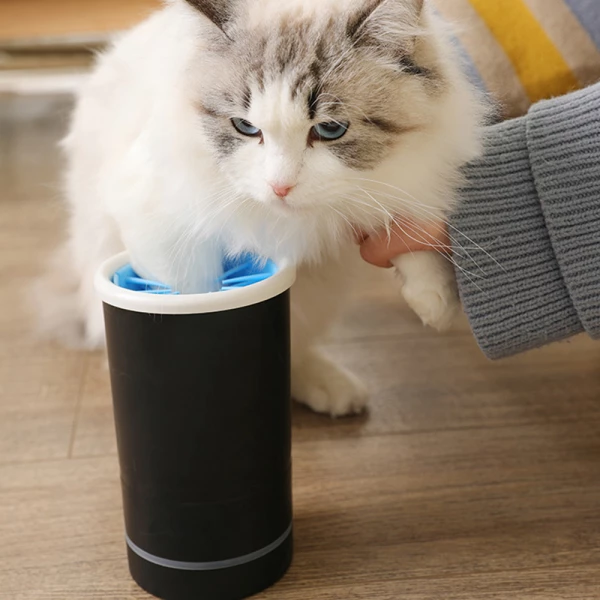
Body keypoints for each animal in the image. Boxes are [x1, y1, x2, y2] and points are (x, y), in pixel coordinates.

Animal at [37, 0, 486, 418]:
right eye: (246, 127)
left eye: (330, 130)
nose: (280, 186)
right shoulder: (155, 217)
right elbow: (195, 293)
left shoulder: (409, 173)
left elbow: (405, 223)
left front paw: (436, 301)